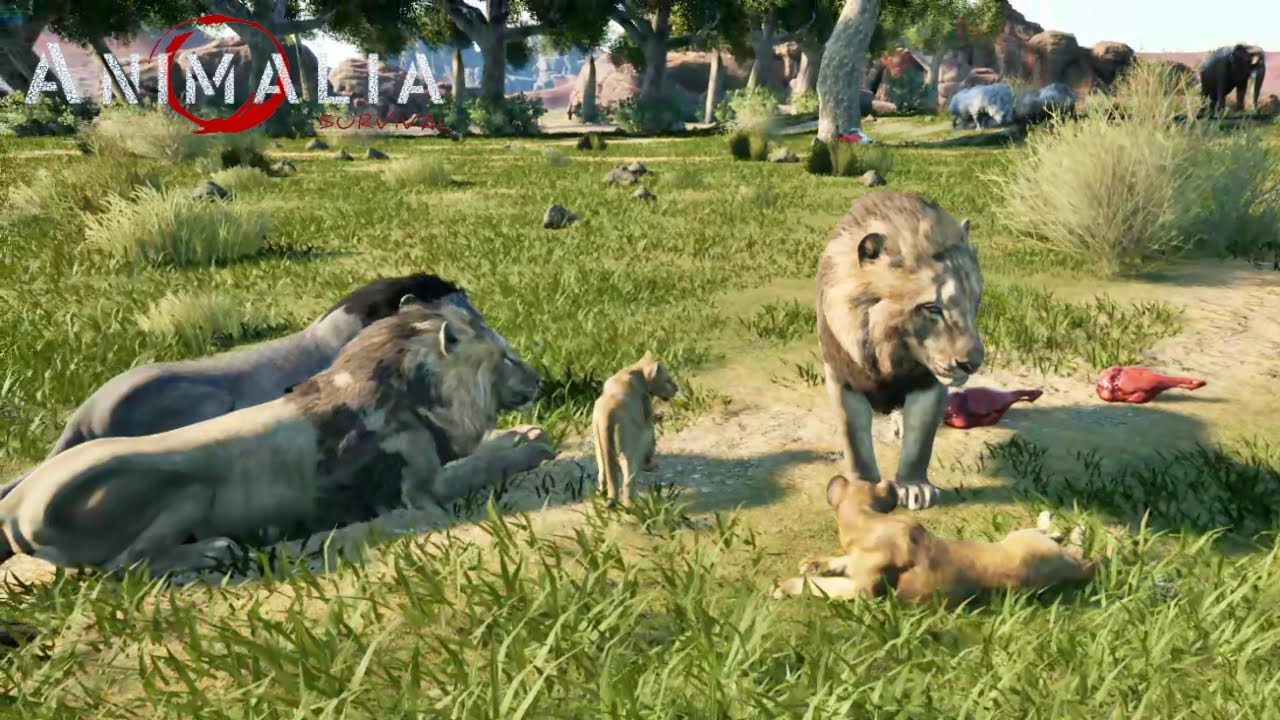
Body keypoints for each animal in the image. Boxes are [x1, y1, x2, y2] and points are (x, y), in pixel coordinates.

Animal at [0, 298, 556, 576]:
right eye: (506, 356)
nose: (537, 382)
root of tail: (16, 508)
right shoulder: (421, 490)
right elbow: (474, 468)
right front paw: (532, 445)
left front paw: (520, 433)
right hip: (182, 490)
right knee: (121, 567)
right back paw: (212, 552)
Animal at [591, 351, 680, 507]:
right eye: (667, 379)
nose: (677, 388)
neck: (635, 369)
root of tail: (607, 415)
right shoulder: (647, 417)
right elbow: (651, 439)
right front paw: (650, 464)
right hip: (628, 446)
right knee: (628, 478)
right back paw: (632, 505)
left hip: (598, 443)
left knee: (602, 471)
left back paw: (602, 496)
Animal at [772, 476, 1122, 603]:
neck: (868, 519)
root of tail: (1077, 572)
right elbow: (837, 563)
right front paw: (815, 563)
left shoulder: (862, 590)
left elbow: (818, 586)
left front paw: (786, 585)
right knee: (1071, 544)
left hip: (1021, 537)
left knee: (1056, 535)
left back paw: (1054, 520)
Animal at [816, 190, 984, 511]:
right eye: (932, 308)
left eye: (975, 302)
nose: (972, 363)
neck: (891, 354)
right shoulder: (843, 379)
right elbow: (855, 441)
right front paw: (862, 487)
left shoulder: (928, 383)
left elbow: (920, 440)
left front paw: (914, 487)